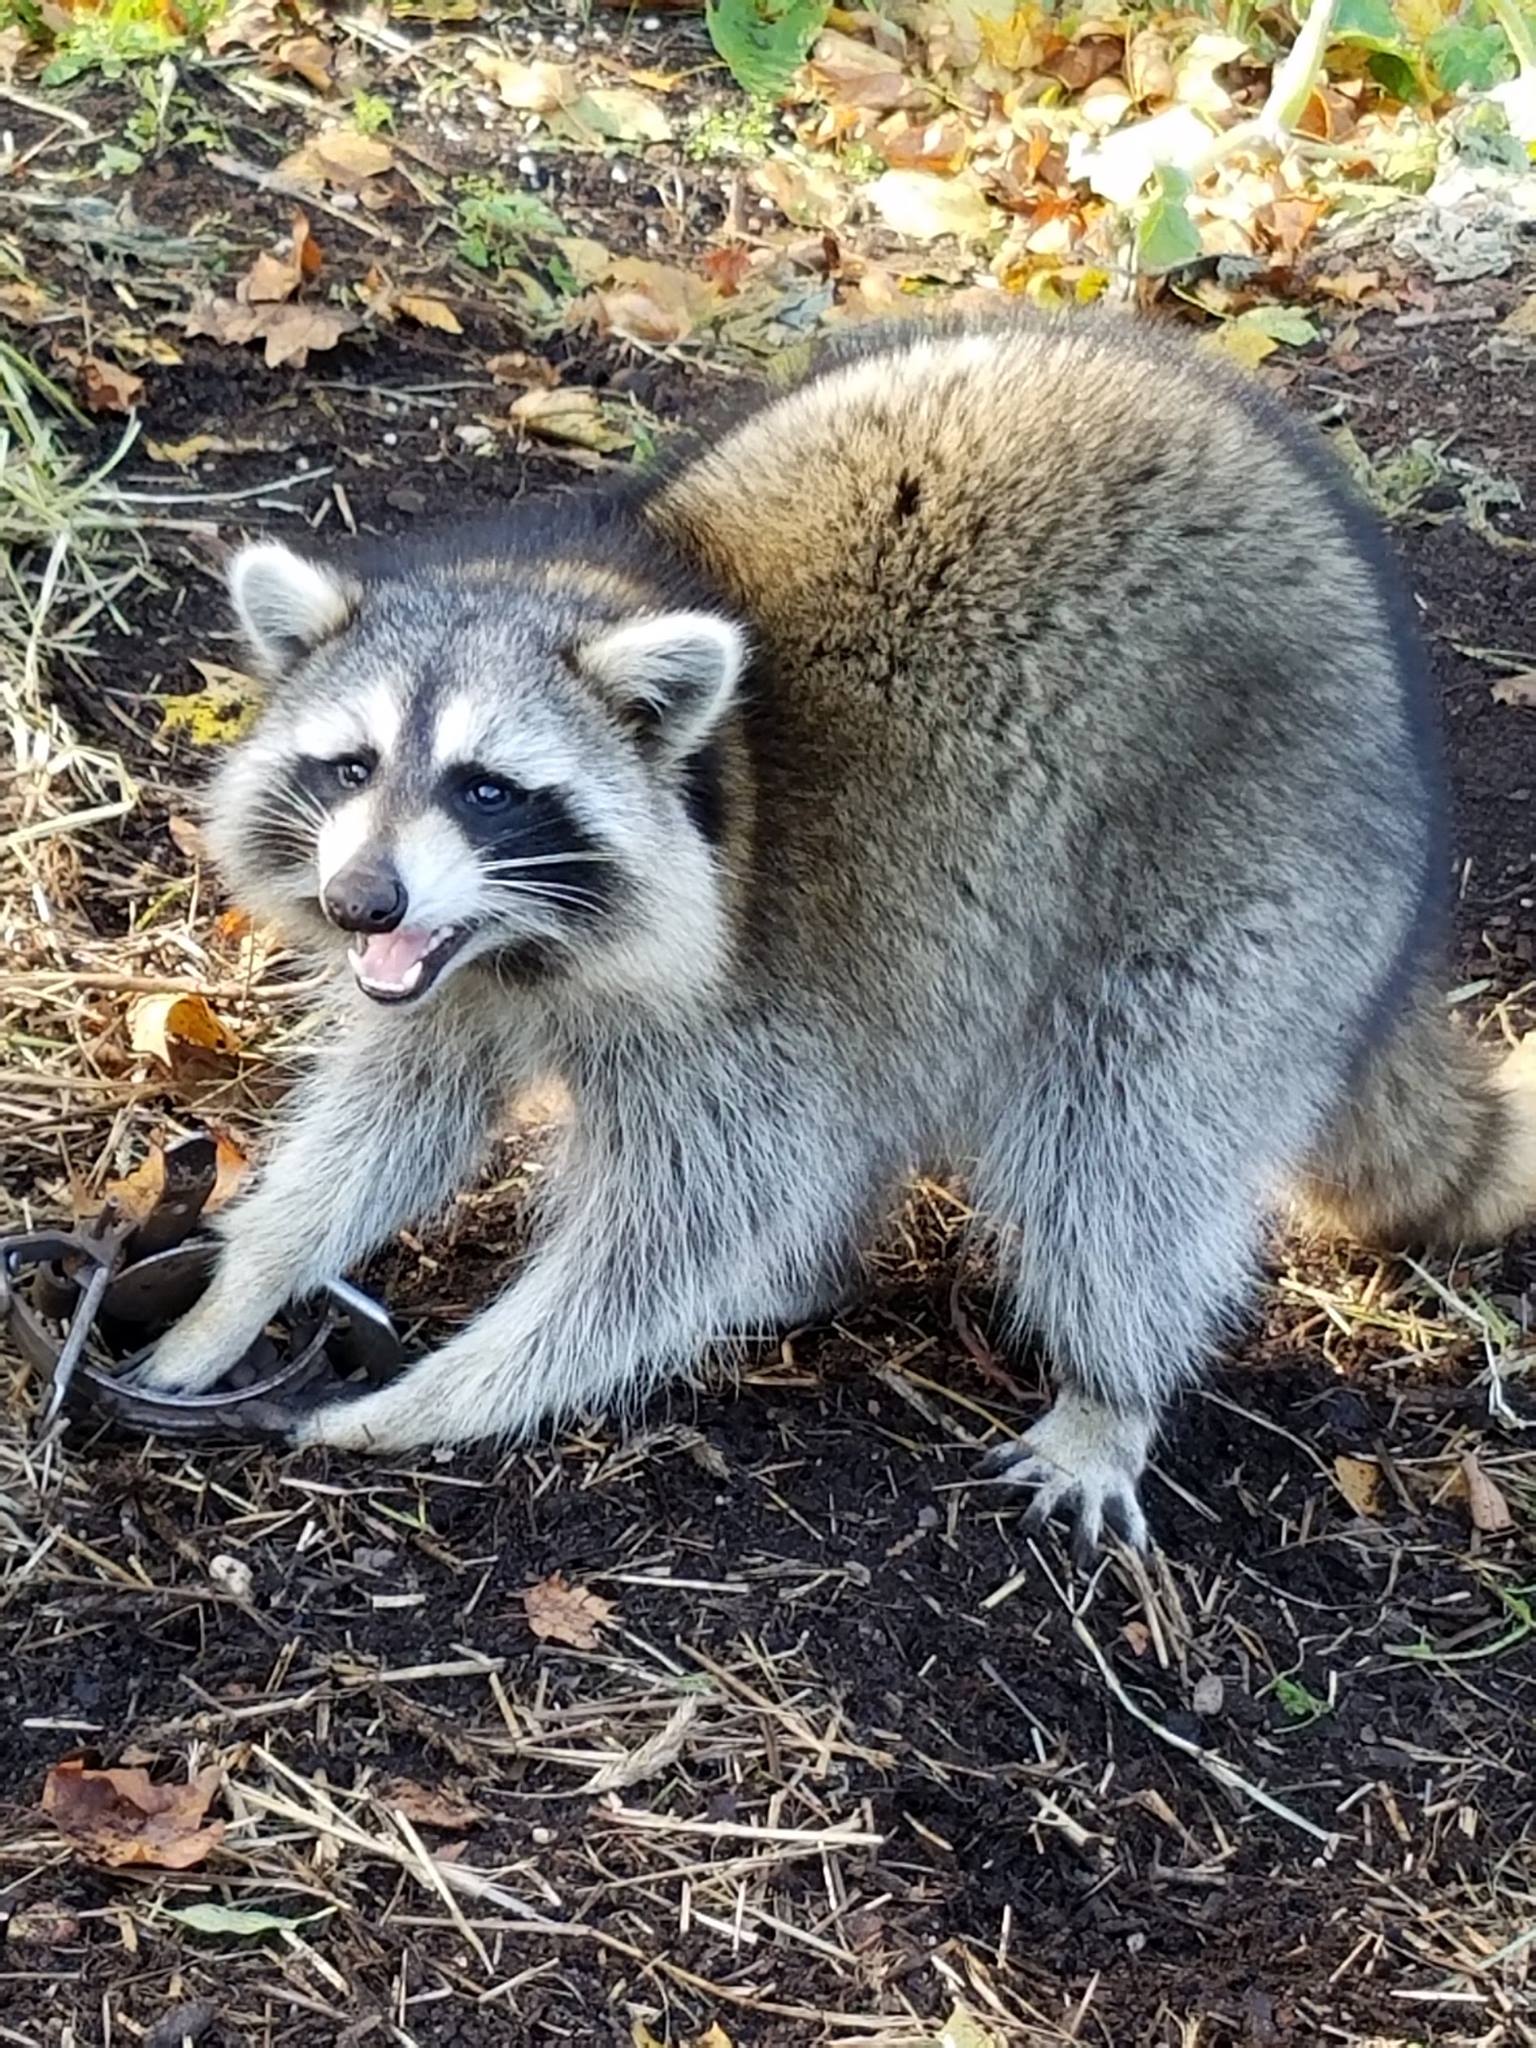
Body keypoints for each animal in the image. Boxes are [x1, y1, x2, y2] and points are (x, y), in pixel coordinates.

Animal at [137, 311, 1536, 1552]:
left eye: (486, 787)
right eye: (351, 764)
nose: (362, 902)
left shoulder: (756, 974)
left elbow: (678, 1223)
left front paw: (456, 1386)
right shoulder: (456, 981)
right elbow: (391, 1121)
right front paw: (245, 1281)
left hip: (1247, 855)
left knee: (1129, 1127)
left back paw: (1111, 1379)